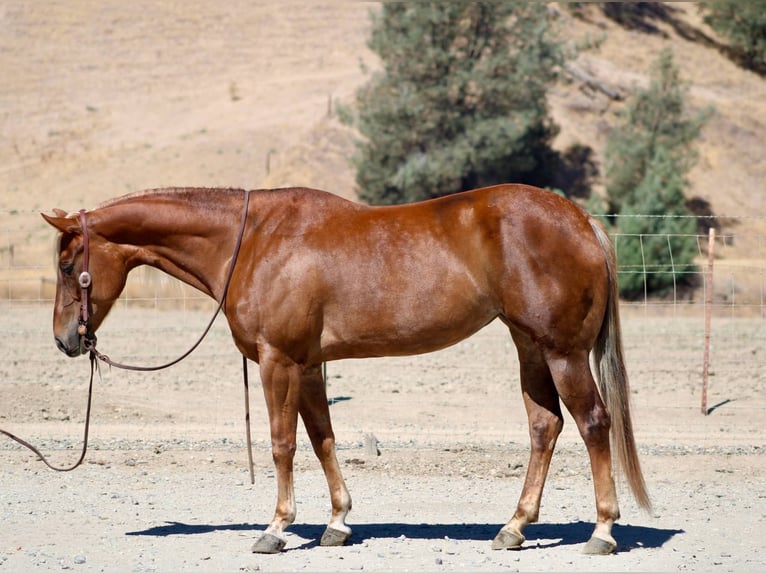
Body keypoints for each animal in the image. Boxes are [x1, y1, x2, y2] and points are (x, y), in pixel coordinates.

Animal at [42, 183, 650, 555]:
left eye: (69, 265)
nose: (66, 340)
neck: (254, 239)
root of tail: (581, 219)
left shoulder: (278, 361)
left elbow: (282, 444)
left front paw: (276, 529)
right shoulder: (309, 366)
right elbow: (322, 439)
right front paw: (337, 522)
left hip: (562, 352)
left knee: (594, 424)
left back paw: (602, 531)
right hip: (529, 347)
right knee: (545, 426)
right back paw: (513, 527)